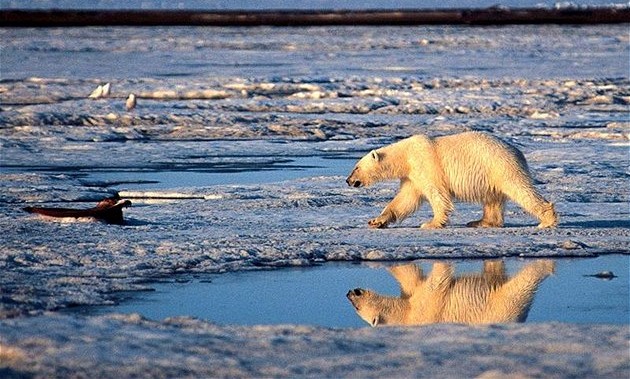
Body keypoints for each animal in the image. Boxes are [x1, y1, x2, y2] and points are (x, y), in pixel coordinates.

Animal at [348, 132, 560, 230]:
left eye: (356, 167)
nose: (348, 181)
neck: (405, 156)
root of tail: (518, 152)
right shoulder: (412, 176)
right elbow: (405, 200)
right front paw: (376, 221)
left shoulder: (426, 165)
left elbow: (437, 195)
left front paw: (430, 223)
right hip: (492, 173)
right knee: (492, 198)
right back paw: (480, 222)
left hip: (500, 165)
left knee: (520, 189)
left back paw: (546, 220)